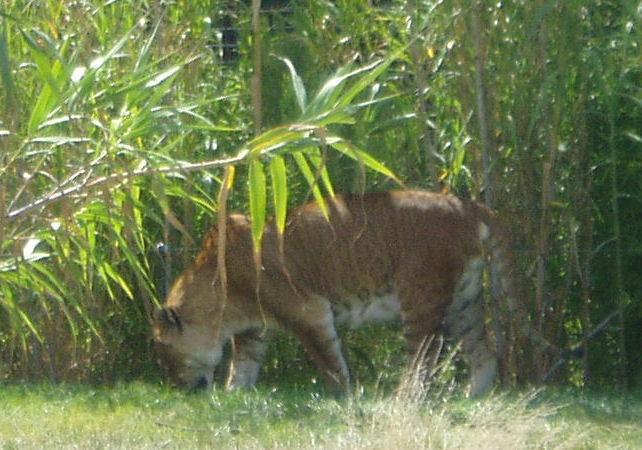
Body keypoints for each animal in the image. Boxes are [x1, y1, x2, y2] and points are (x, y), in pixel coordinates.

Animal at [152, 190, 515, 396]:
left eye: (167, 356)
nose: (178, 390)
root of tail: (469, 206)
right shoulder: (255, 330)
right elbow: (242, 365)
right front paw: (233, 396)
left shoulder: (307, 310)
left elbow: (326, 359)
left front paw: (342, 396)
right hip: (464, 301)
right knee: (484, 353)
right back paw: (473, 396)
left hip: (422, 295)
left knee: (423, 355)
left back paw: (405, 397)